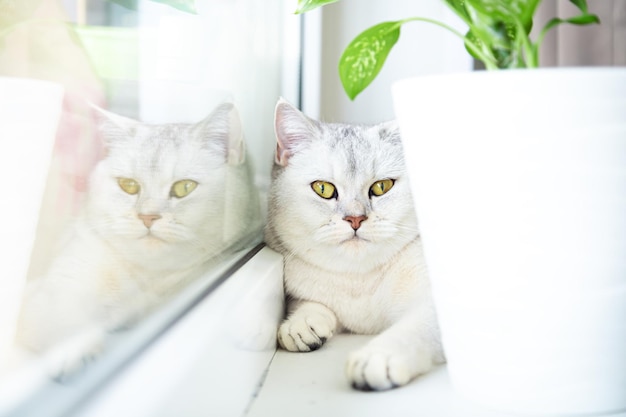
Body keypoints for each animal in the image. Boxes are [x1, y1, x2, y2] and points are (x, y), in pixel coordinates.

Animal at [16, 101, 260, 376]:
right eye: (129, 185)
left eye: (184, 187)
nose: (147, 217)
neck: (148, 276)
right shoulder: (53, 288)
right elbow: (64, 314)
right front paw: (74, 349)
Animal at [264, 98, 444, 390]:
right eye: (323, 189)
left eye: (382, 187)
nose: (355, 218)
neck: (359, 280)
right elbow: (305, 302)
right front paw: (301, 323)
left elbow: (416, 327)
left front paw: (379, 355)